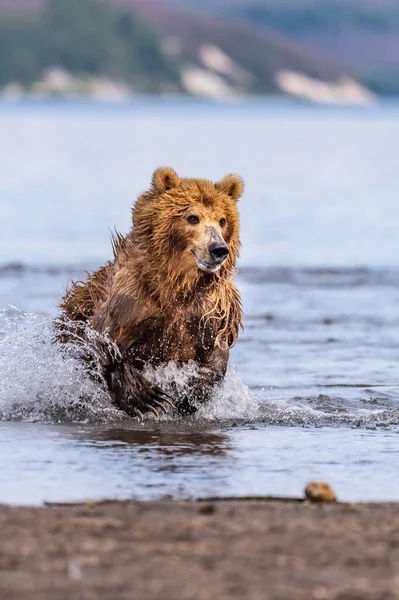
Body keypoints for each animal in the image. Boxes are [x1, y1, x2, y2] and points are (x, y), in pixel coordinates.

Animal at [59, 165, 244, 418]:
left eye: (222, 220)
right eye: (192, 217)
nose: (218, 249)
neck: (178, 285)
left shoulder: (211, 310)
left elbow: (216, 351)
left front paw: (191, 393)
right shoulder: (132, 303)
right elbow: (101, 341)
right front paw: (146, 397)